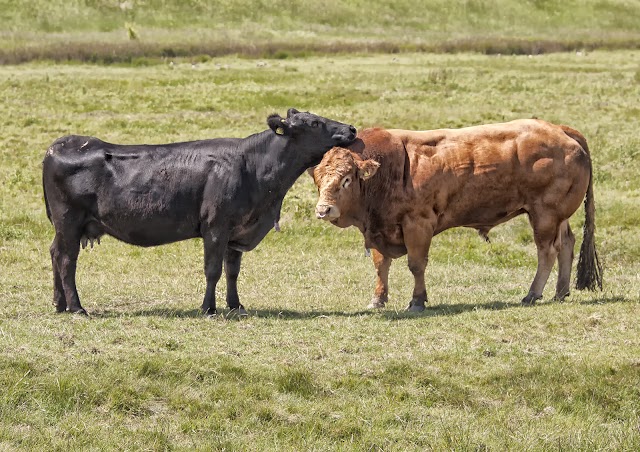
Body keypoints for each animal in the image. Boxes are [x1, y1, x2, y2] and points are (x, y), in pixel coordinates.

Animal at [42, 108, 358, 316]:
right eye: (315, 122)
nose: (352, 129)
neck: (253, 167)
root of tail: (60, 145)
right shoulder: (216, 227)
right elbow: (213, 270)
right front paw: (208, 308)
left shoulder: (237, 231)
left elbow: (232, 271)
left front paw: (235, 305)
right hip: (69, 222)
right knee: (67, 260)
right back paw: (77, 307)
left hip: (64, 227)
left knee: (55, 254)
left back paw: (59, 304)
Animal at [312, 120, 604, 310]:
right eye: (318, 180)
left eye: (347, 179)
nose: (324, 210)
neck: (388, 168)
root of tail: (561, 130)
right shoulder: (379, 226)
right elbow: (381, 265)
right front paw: (378, 299)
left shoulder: (418, 224)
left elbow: (416, 265)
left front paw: (417, 300)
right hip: (558, 217)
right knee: (566, 244)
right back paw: (560, 292)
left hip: (544, 214)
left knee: (547, 251)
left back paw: (532, 294)